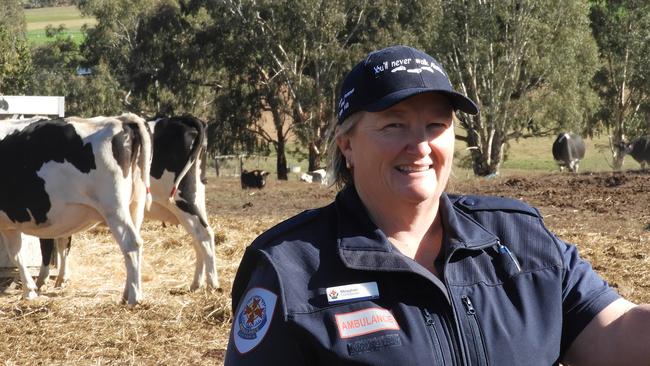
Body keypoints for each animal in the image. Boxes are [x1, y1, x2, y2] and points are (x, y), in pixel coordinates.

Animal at [0, 113, 151, 304]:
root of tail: (121, 120)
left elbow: (19, 255)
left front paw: (30, 290)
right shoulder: (8, 225)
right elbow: (18, 254)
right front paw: (30, 290)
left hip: (114, 209)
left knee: (131, 243)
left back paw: (134, 297)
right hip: (135, 206)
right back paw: (126, 293)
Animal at [38, 114, 218, 292]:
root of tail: (182, 119)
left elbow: (47, 245)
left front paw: (42, 280)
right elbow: (63, 242)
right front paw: (61, 278)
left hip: (180, 200)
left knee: (204, 234)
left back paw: (211, 284)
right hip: (193, 202)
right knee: (198, 239)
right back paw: (196, 283)